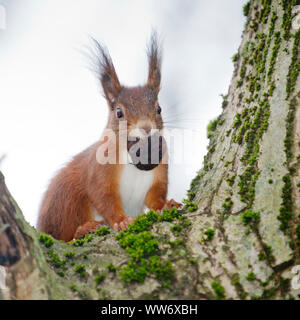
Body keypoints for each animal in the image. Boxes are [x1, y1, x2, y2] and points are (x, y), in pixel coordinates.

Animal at [36, 33, 179, 242]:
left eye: (159, 108)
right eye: (119, 113)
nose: (145, 127)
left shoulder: (160, 170)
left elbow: (156, 194)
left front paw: (165, 205)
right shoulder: (100, 171)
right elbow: (105, 197)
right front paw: (122, 221)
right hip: (67, 200)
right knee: (66, 233)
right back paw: (84, 229)